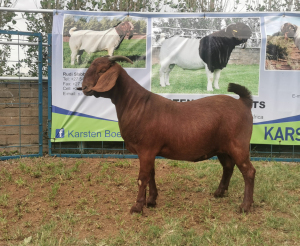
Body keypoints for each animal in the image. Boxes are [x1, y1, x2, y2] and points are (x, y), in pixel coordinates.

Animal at [77, 55, 255, 213]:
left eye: (102, 70)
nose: (84, 88)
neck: (136, 104)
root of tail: (243, 102)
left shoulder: (146, 149)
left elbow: (142, 178)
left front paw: (137, 207)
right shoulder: (149, 151)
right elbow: (151, 175)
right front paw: (151, 201)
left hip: (239, 145)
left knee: (249, 171)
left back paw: (245, 206)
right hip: (222, 147)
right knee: (228, 166)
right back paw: (219, 193)